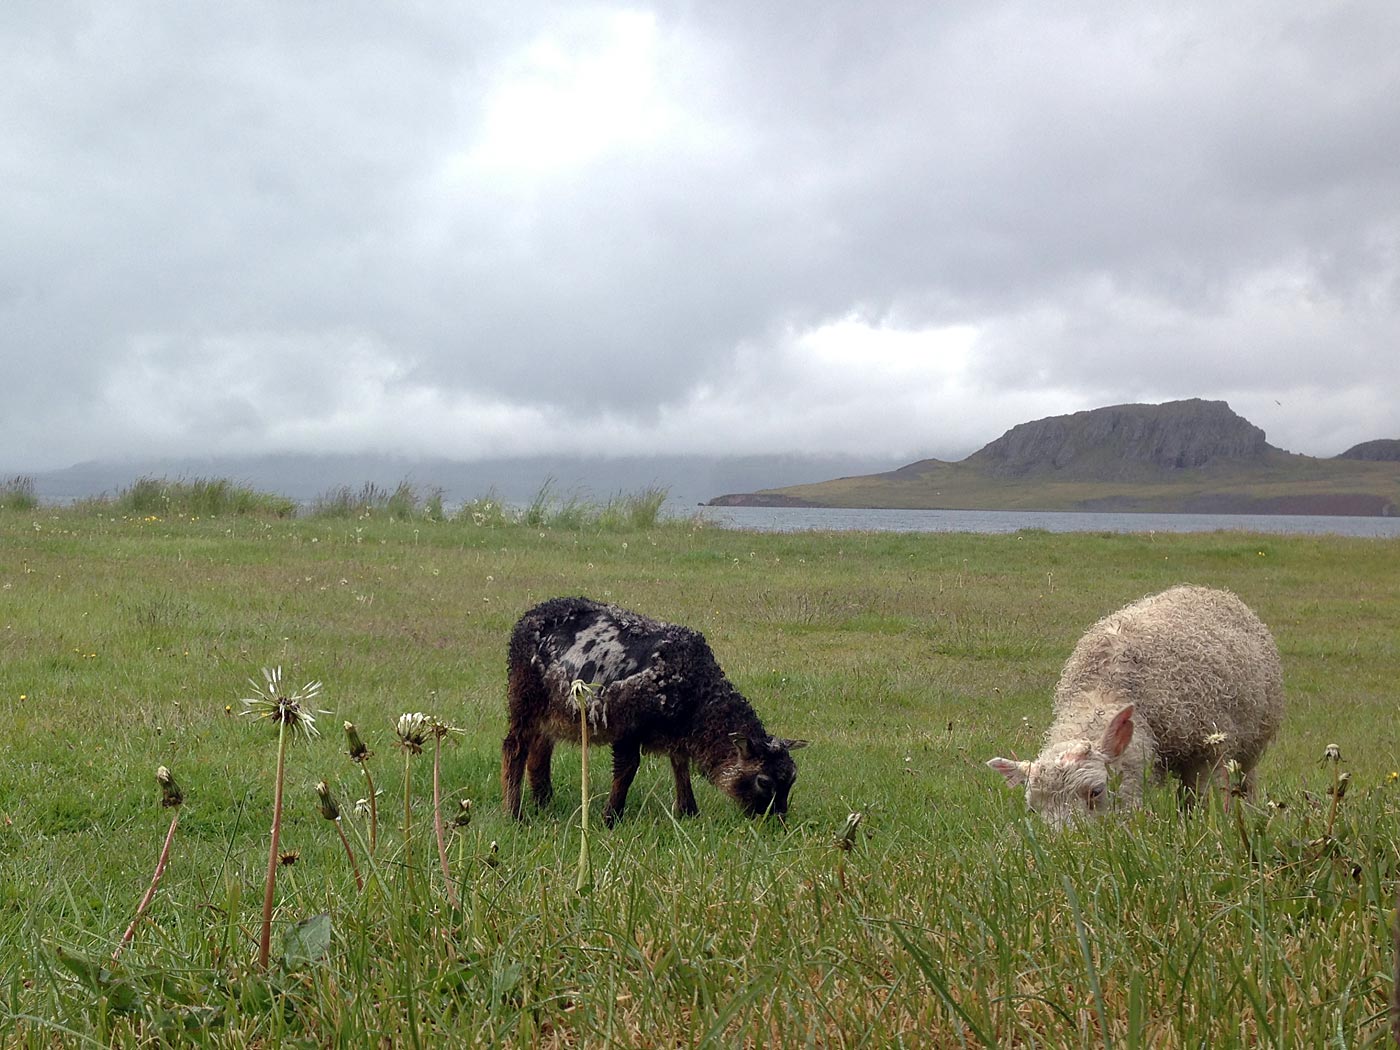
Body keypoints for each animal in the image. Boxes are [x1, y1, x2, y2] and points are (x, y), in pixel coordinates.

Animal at [504, 596, 812, 828]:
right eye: (763, 781)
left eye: (792, 779)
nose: (777, 822)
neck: (698, 695)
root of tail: (532, 614)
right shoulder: (627, 723)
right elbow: (628, 769)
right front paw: (611, 818)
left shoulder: (677, 732)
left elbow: (680, 764)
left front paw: (688, 811)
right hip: (525, 696)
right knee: (515, 747)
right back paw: (514, 813)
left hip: (552, 710)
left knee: (539, 752)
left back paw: (544, 801)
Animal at [985, 588, 1282, 828]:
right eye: (1033, 809)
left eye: (1096, 792)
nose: (1067, 843)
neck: (1103, 693)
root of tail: (1210, 590)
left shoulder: (1208, 752)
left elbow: (1204, 798)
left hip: (1252, 742)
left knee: (1245, 780)